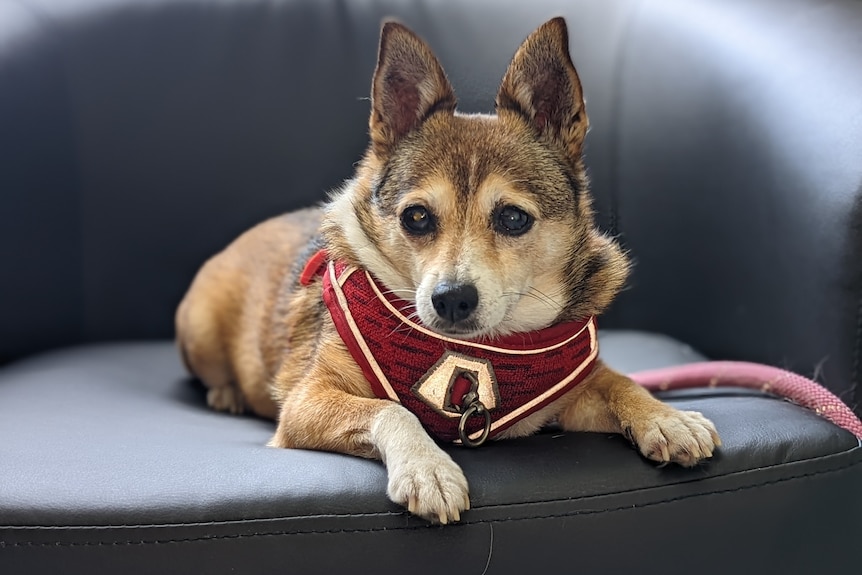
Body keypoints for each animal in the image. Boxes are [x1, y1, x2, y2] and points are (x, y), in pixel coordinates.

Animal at [176, 18, 724, 524]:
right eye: (416, 217)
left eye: (513, 218)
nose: (452, 298)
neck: (483, 347)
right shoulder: (306, 403)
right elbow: (392, 409)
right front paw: (428, 468)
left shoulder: (571, 395)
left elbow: (618, 382)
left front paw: (668, 419)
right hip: (200, 329)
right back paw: (227, 393)